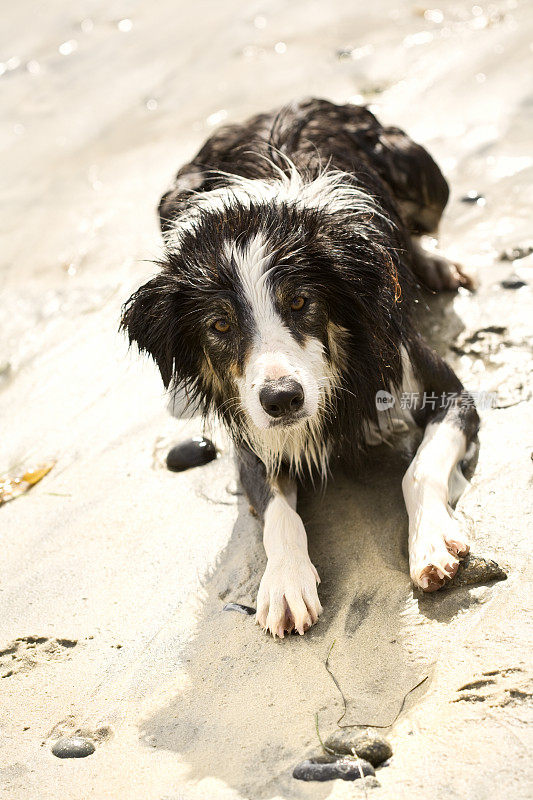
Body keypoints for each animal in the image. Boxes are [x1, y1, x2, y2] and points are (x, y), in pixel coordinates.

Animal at [121, 98, 478, 636]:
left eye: (300, 301)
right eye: (219, 325)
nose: (282, 399)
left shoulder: (444, 389)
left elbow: (420, 469)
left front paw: (431, 542)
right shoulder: (249, 434)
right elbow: (277, 514)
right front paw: (286, 581)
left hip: (416, 167)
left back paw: (433, 263)